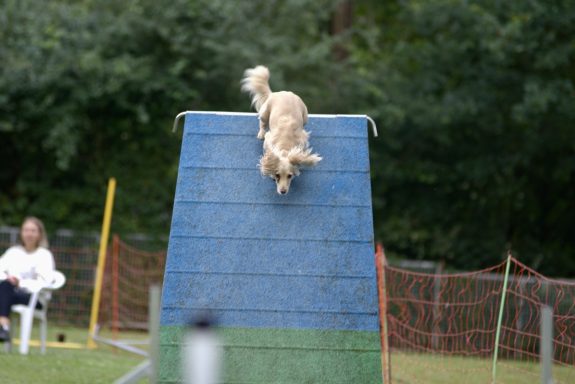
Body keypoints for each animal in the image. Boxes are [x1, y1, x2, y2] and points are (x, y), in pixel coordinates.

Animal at [241, 65, 322, 195]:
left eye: (289, 176)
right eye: (277, 175)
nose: (283, 191)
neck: (285, 146)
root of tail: (279, 93)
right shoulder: (268, 140)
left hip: (305, 116)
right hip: (265, 112)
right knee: (262, 122)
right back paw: (261, 133)